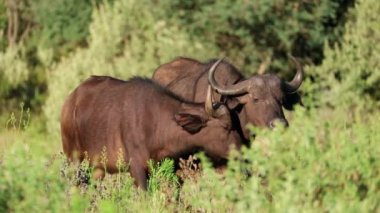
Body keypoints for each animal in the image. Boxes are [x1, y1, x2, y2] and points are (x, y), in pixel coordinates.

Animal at [61, 62, 242, 188]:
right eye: (226, 127)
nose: (241, 153)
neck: (157, 123)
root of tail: (70, 101)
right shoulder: (137, 170)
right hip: (74, 160)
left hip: (97, 169)